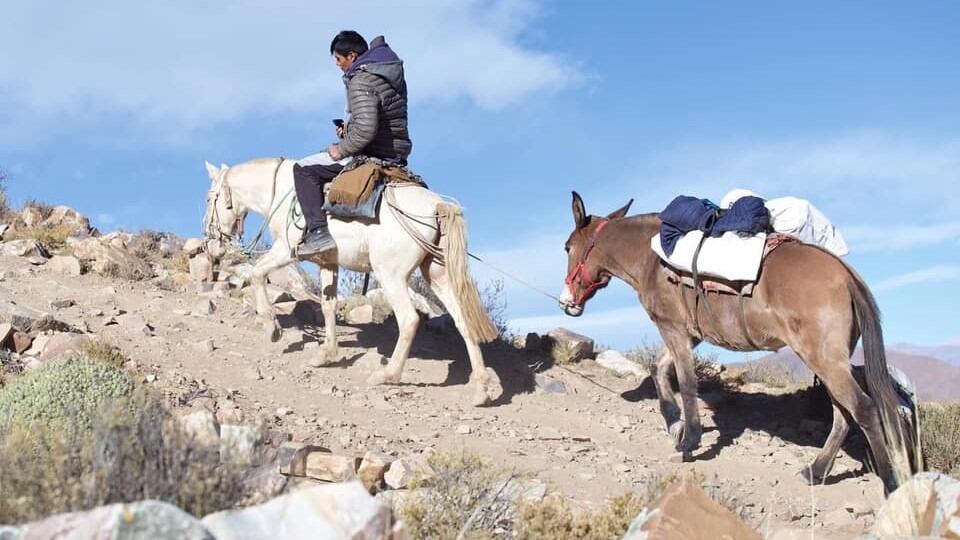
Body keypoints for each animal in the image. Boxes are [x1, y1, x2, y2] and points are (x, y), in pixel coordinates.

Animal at [202, 156, 502, 404]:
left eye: (208, 199)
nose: (211, 245)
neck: (279, 190)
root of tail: (436, 205)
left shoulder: (286, 249)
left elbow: (257, 273)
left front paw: (272, 328)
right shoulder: (327, 262)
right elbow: (328, 306)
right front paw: (326, 354)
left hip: (391, 275)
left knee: (409, 320)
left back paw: (387, 375)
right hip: (436, 275)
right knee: (463, 321)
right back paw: (481, 391)